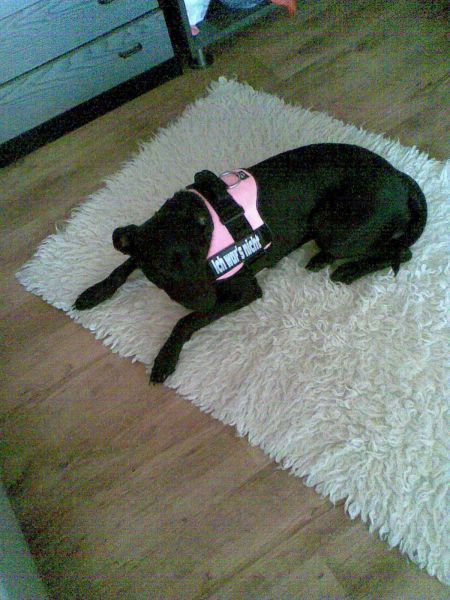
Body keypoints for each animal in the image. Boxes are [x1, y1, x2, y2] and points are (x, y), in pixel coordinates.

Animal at [74, 143, 427, 383]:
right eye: (161, 271)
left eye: (200, 259)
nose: (206, 301)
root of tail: (399, 177)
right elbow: (124, 265)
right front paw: (95, 291)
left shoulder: (243, 291)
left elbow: (186, 321)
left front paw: (165, 357)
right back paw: (322, 259)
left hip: (336, 228)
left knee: (400, 251)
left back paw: (349, 269)